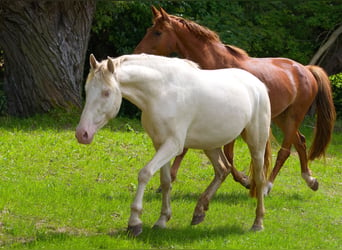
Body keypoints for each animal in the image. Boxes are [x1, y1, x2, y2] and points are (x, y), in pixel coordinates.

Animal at [76, 53, 272, 236]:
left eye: (106, 92)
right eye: (87, 90)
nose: (82, 134)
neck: (161, 92)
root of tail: (258, 85)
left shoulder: (173, 144)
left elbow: (145, 173)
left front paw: (134, 222)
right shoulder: (159, 143)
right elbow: (165, 181)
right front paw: (162, 220)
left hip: (256, 142)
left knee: (260, 178)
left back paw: (258, 223)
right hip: (210, 144)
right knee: (223, 169)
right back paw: (199, 211)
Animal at [134, 5, 336, 193]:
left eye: (158, 32)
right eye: (149, 30)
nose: (137, 53)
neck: (217, 64)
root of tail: (306, 69)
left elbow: (228, 155)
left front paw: (245, 180)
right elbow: (187, 148)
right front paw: (168, 181)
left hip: (293, 116)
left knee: (285, 151)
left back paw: (267, 186)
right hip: (282, 117)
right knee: (301, 141)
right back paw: (310, 180)